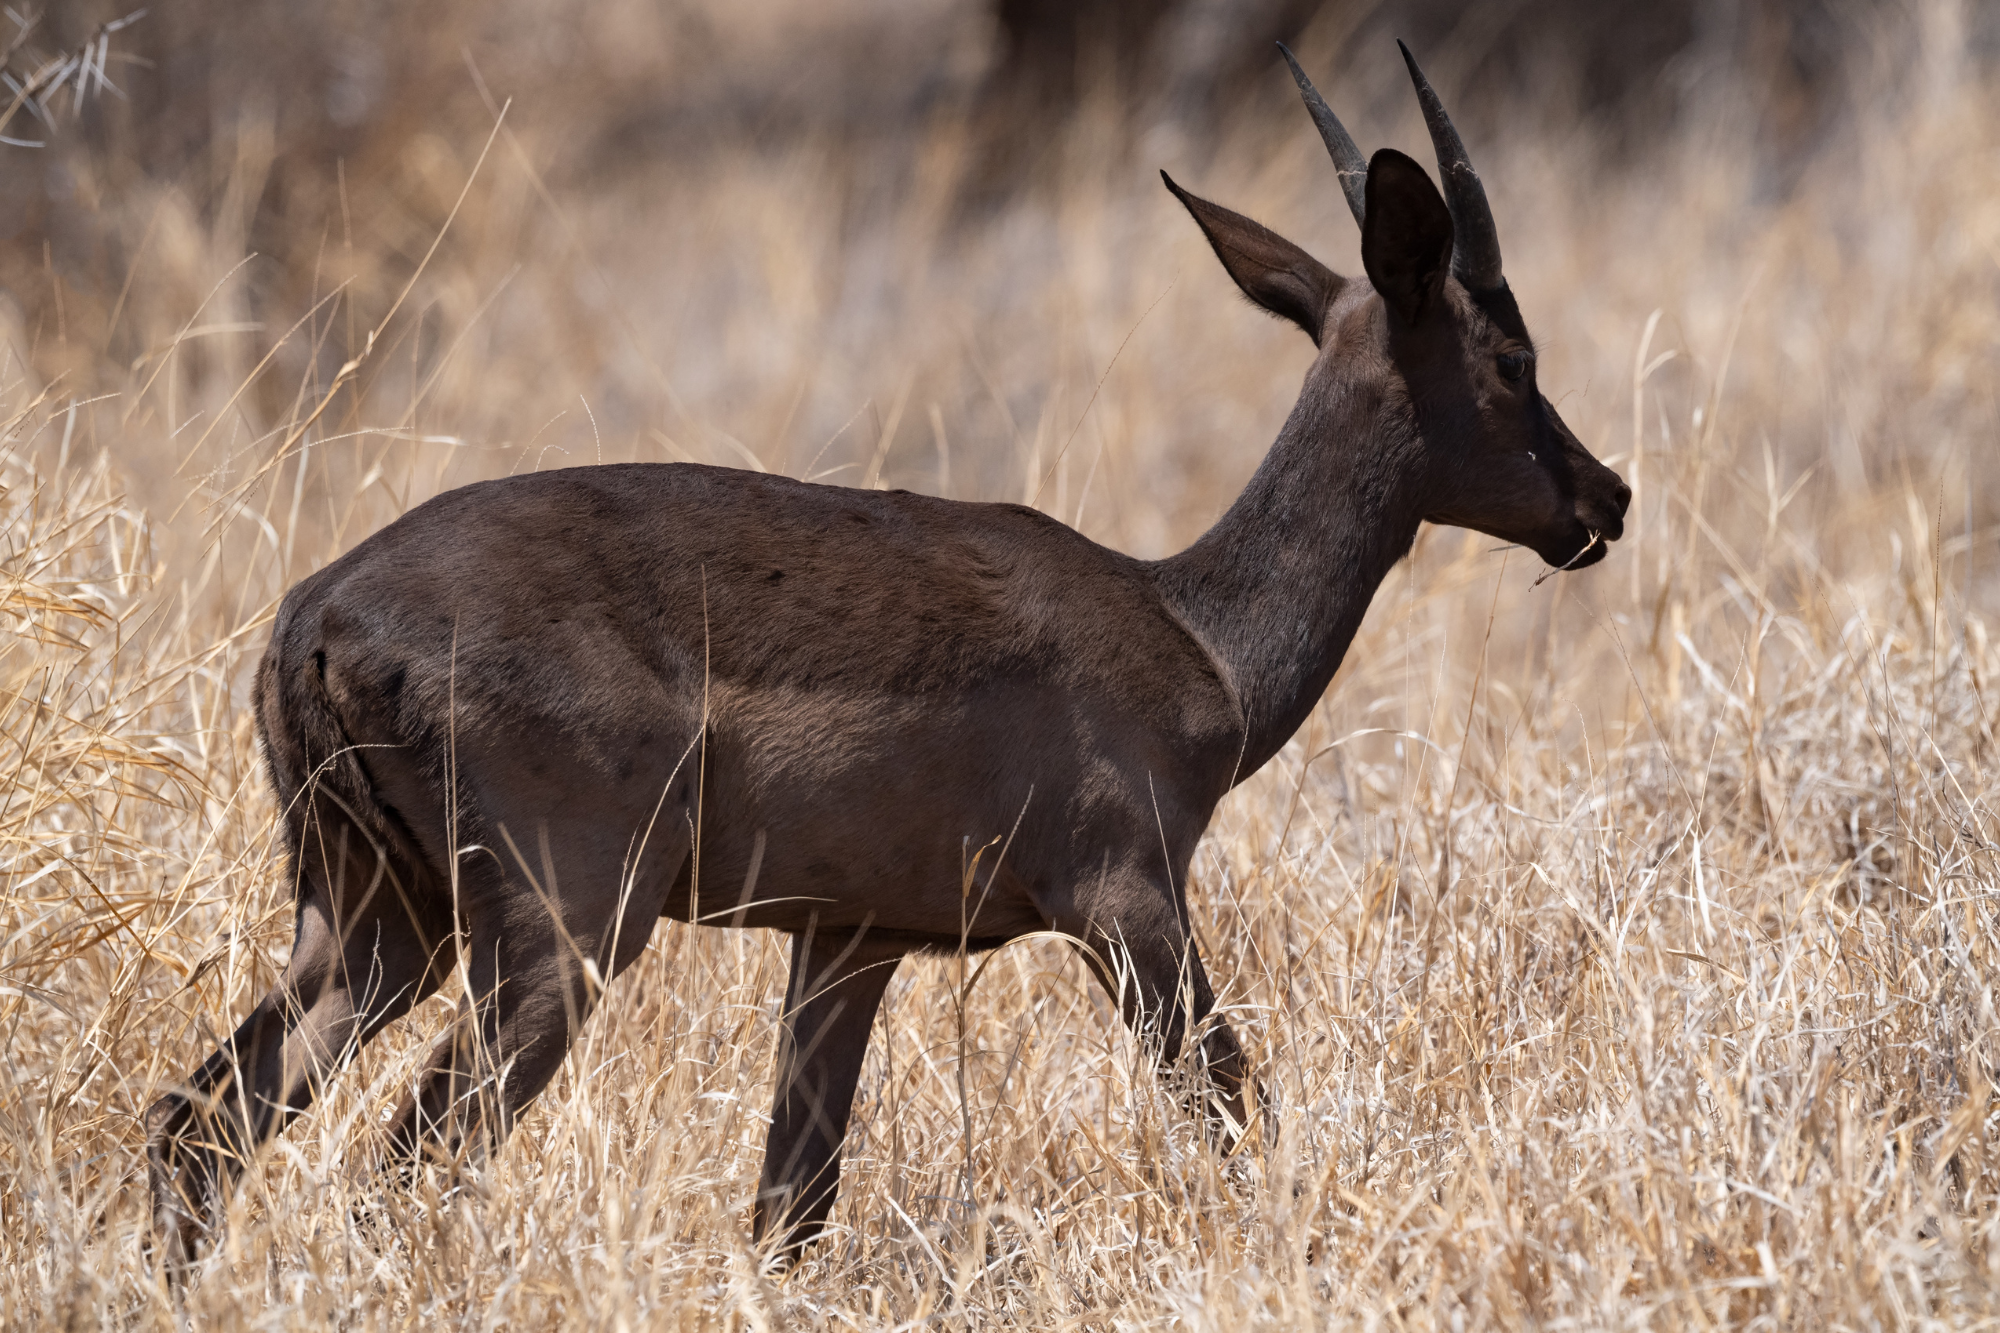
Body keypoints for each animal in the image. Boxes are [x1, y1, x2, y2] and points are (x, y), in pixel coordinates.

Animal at [152, 41, 1624, 1264]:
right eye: (1512, 354)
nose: (1602, 499)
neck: (1190, 634)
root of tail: (316, 617)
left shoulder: (848, 942)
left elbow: (788, 1209)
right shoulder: (1129, 902)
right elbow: (1234, 1111)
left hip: (376, 924)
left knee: (197, 1124)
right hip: (556, 933)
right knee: (401, 1162)